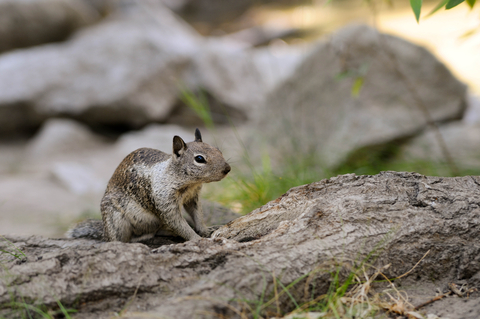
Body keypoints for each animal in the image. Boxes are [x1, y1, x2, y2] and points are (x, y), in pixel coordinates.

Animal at [67, 129, 231, 244]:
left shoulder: (193, 198)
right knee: (125, 239)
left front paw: (205, 230)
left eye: (218, 150)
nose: (227, 169)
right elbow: (178, 224)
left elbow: (197, 214)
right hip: (116, 220)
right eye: (199, 159)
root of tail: (104, 232)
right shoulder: (165, 202)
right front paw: (198, 238)